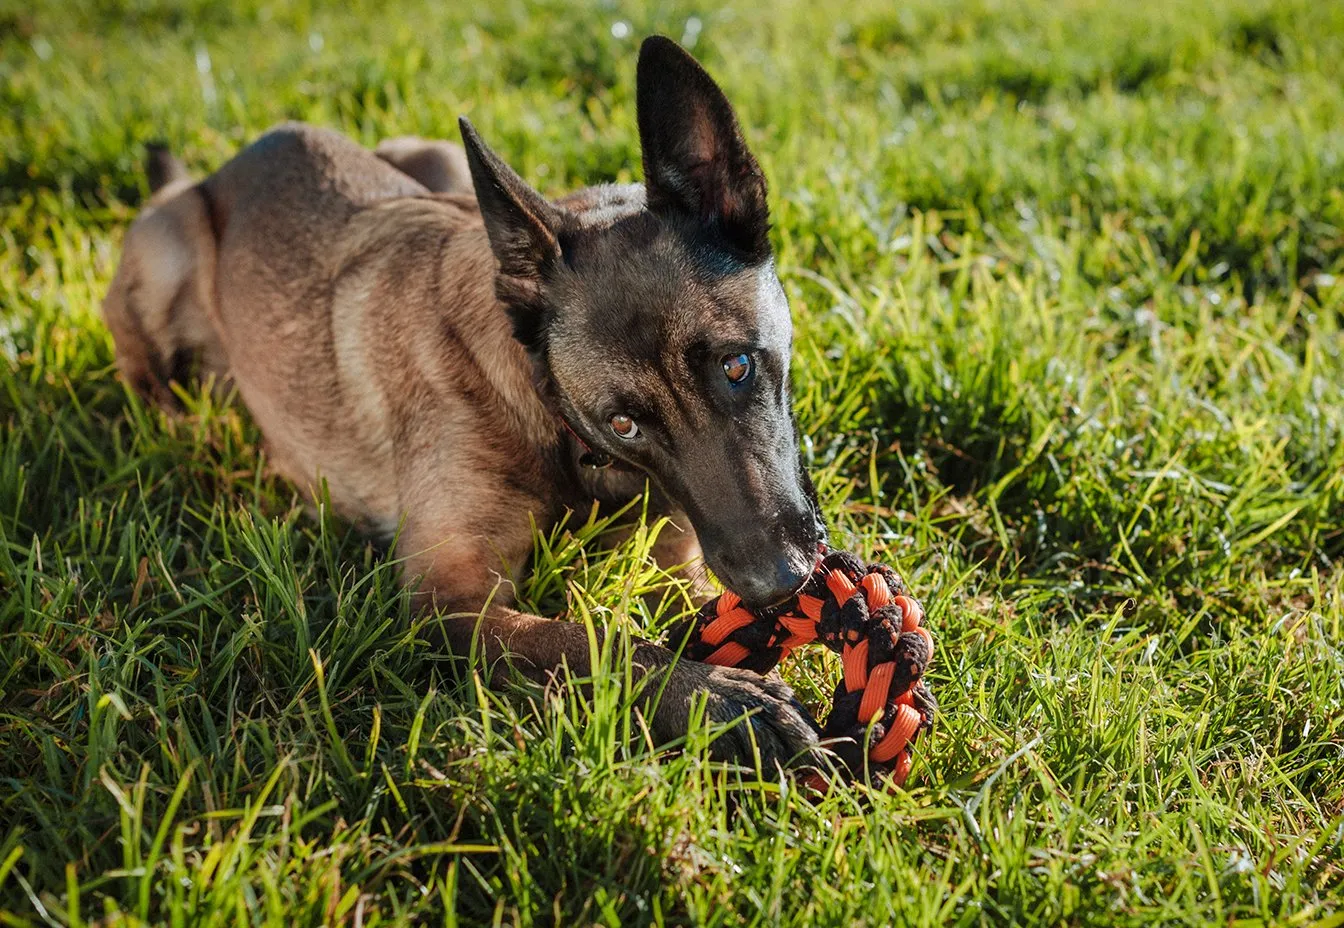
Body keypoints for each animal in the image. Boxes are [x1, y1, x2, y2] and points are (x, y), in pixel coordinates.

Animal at [99, 36, 822, 769]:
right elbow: (590, 645)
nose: (778, 582)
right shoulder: (449, 600)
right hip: (167, 253)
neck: (549, 413)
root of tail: (223, 166)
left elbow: (690, 606)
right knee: (142, 368)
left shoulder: (679, 554)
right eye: (623, 423)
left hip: (437, 159)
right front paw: (720, 700)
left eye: (736, 366)